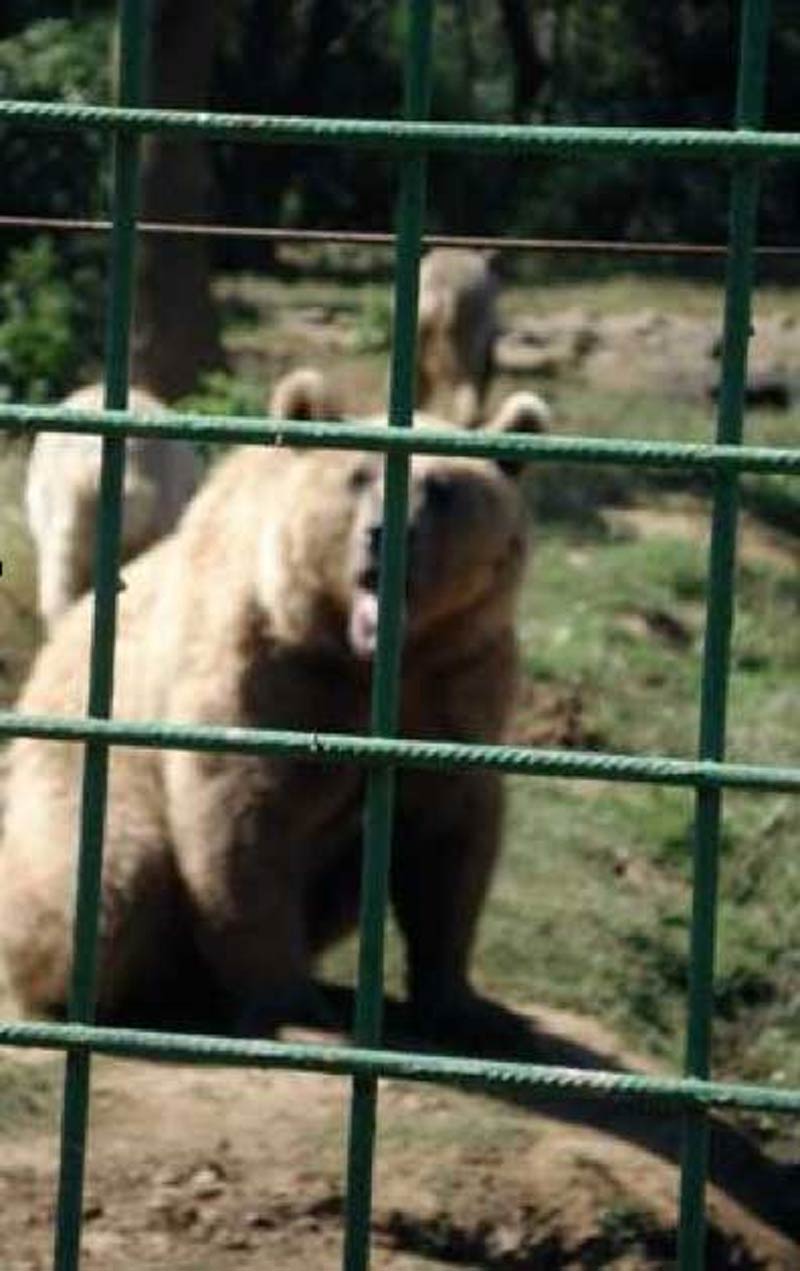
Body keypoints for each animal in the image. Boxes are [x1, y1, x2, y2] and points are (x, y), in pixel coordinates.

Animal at [0, 371, 549, 1042]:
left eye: (442, 487)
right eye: (359, 475)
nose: (386, 535)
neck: (371, 659)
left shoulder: (456, 684)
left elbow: (449, 841)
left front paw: (468, 1007)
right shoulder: (267, 666)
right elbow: (243, 818)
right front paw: (291, 1008)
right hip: (78, 785)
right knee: (103, 878)